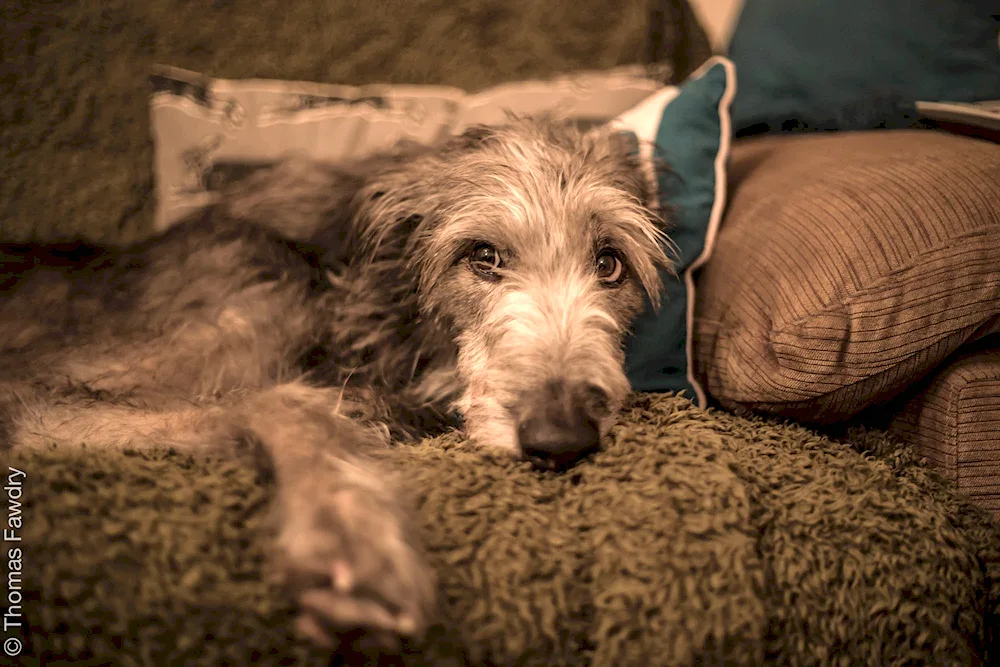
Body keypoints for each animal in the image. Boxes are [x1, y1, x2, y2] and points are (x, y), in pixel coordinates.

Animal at [1, 117, 672, 656]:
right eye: (482, 256)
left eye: (609, 263)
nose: (561, 439)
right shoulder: (36, 401)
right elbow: (281, 400)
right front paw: (346, 531)